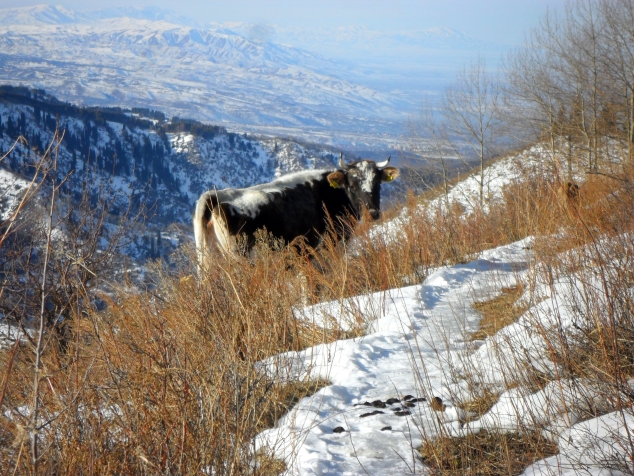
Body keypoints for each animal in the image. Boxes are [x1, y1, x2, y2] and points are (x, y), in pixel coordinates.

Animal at [194, 153, 400, 272]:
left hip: (207, 260)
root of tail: (215, 195)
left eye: (377, 182)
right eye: (352, 184)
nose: (372, 213)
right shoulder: (330, 246)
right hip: (241, 260)